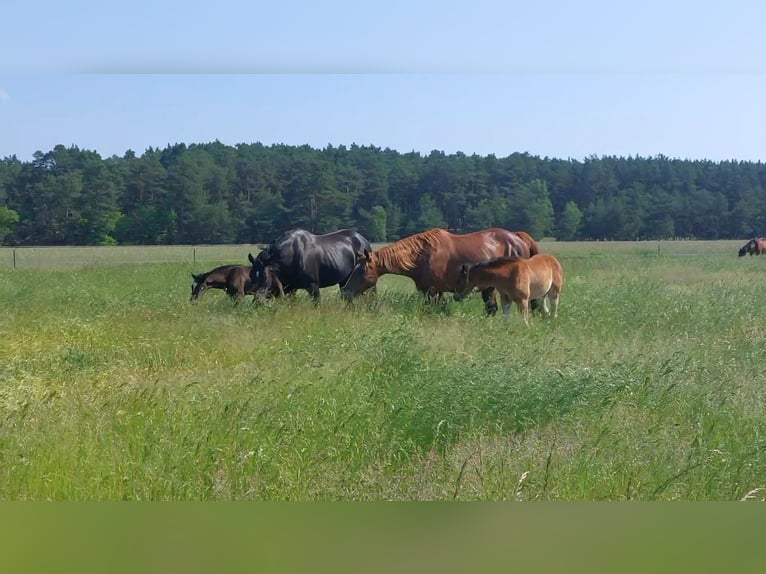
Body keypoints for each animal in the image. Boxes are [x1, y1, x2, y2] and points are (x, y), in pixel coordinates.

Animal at [344, 228, 536, 318]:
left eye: (362, 269)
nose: (346, 292)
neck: (422, 255)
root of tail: (518, 238)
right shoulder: (431, 292)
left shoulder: (433, 291)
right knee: (492, 309)